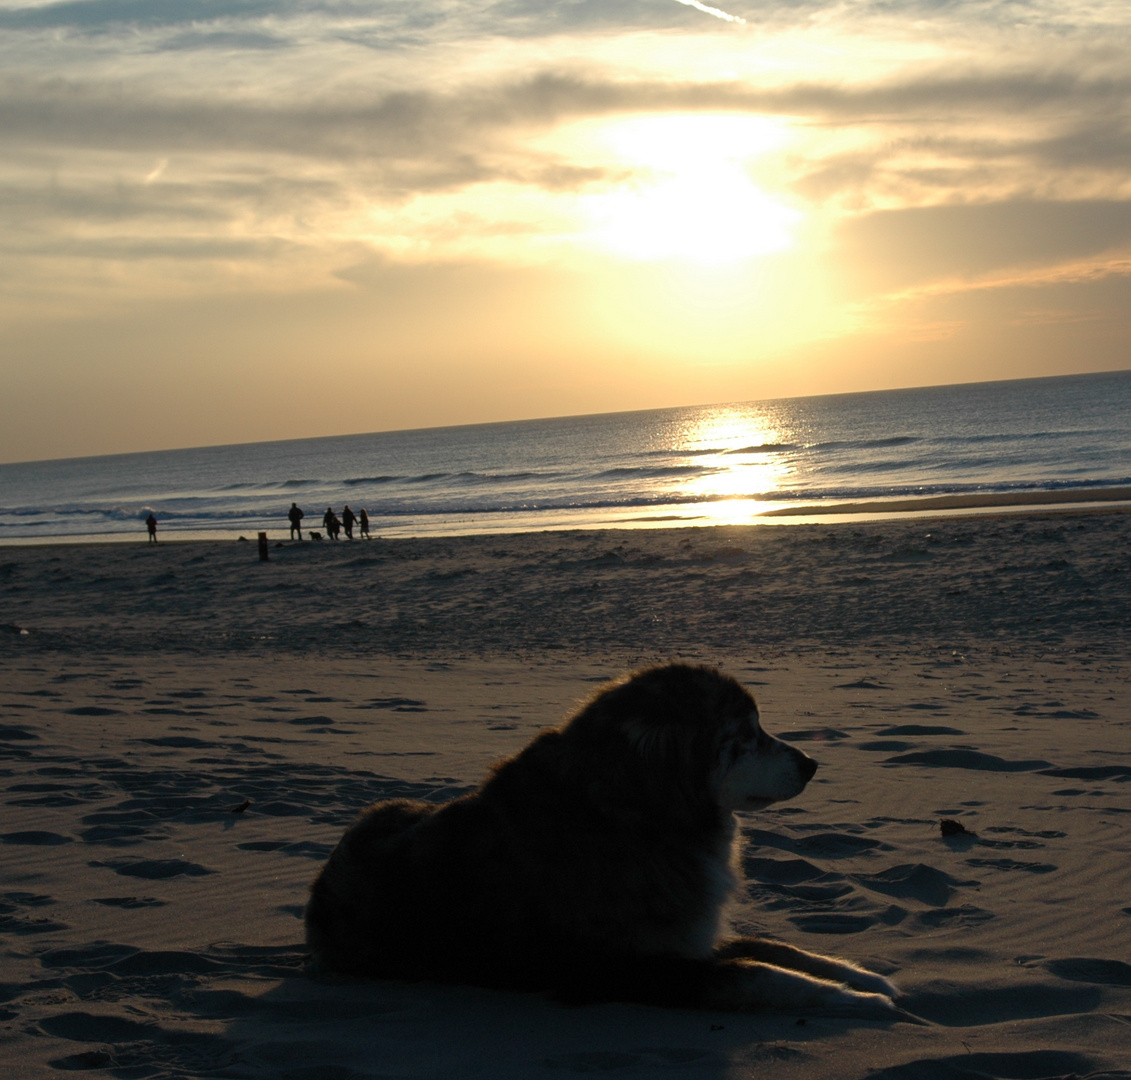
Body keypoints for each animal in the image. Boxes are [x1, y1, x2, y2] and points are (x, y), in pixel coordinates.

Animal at [303, 664, 909, 1017]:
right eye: (745, 736)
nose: (812, 764)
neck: (638, 819)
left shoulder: (684, 933)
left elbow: (777, 948)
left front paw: (860, 973)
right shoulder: (619, 968)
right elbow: (753, 973)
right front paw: (857, 1000)